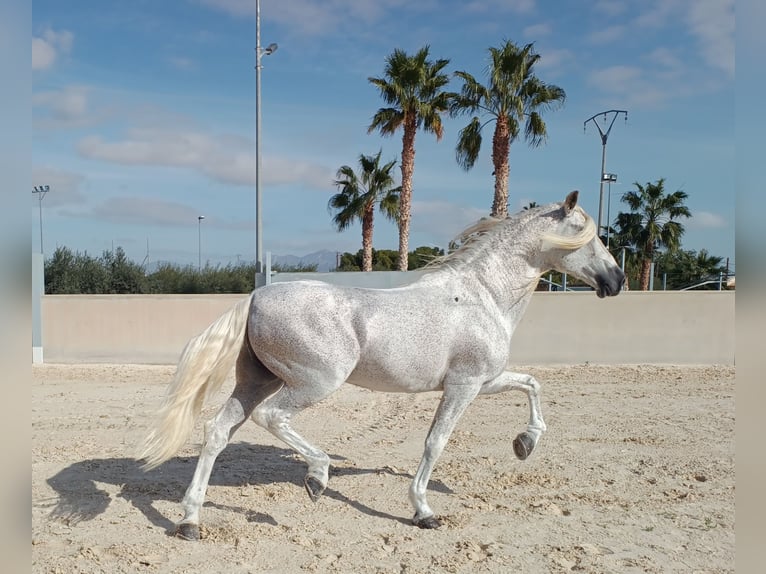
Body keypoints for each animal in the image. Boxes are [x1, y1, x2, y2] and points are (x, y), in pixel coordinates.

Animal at [141, 194, 628, 540]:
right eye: (584, 235)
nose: (617, 280)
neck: (483, 295)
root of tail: (257, 296)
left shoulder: (483, 381)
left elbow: (532, 384)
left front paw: (525, 443)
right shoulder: (464, 385)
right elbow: (436, 443)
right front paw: (424, 512)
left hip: (257, 381)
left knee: (217, 432)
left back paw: (190, 522)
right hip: (313, 382)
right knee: (271, 417)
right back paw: (317, 477)